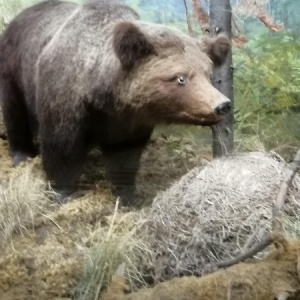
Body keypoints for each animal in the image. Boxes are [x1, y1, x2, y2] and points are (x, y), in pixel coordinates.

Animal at [0, 0, 231, 204]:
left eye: (208, 74)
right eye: (180, 78)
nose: (223, 105)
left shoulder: (127, 122)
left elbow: (125, 157)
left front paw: (128, 194)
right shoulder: (65, 98)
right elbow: (61, 146)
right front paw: (62, 192)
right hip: (14, 69)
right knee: (15, 112)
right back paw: (22, 154)